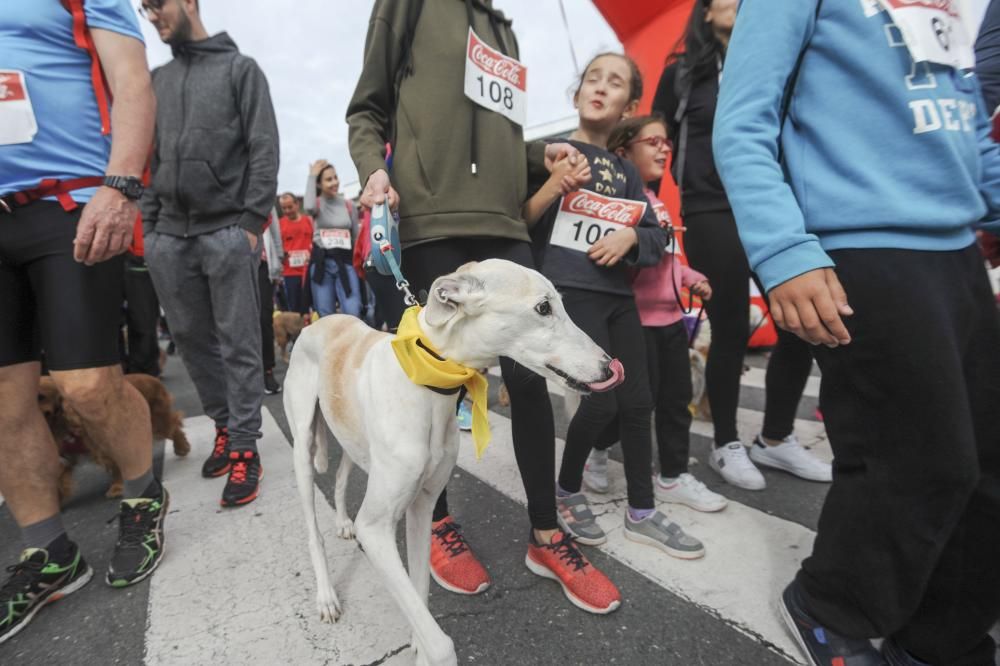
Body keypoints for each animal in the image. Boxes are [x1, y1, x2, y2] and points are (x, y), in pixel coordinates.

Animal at [38, 374, 190, 498]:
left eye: (41, 397)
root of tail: (151, 377)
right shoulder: (65, 455)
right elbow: (59, 476)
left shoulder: (106, 445)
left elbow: (116, 466)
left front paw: (117, 487)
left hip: (158, 422)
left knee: (174, 427)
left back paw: (181, 447)